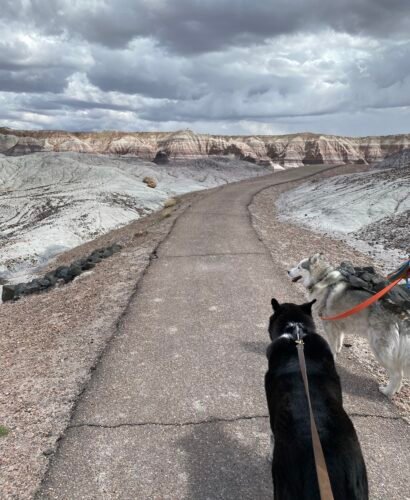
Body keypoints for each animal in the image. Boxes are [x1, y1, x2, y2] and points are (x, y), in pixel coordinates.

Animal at [288, 254, 410, 398]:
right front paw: (338, 351)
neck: (321, 278)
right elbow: (339, 341)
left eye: (299, 267)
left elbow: (332, 345)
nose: (288, 271)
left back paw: (387, 391)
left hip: (380, 349)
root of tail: (401, 313)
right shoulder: (337, 324)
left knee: (397, 374)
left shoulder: (329, 324)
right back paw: (395, 390)